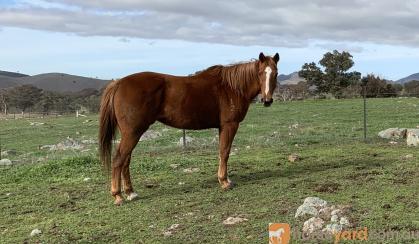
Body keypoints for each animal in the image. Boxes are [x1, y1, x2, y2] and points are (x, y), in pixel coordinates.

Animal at [100, 52, 280, 205]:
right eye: (260, 73)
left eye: (275, 73)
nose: (267, 100)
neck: (231, 87)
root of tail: (118, 83)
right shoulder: (230, 125)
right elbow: (225, 152)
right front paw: (224, 182)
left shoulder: (222, 127)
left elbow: (221, 152)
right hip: (133, 132)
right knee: (119, 159)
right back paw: (118, 195)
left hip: (131, 133)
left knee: (125, 160)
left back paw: (130, 192)